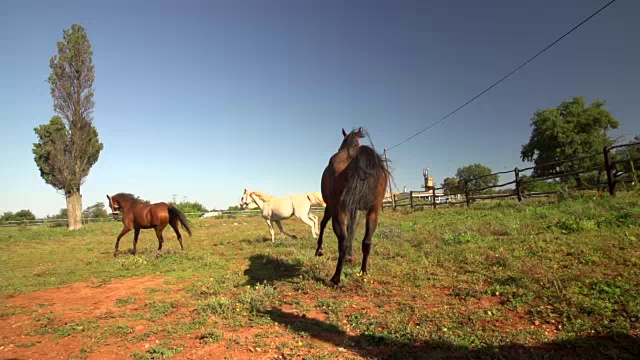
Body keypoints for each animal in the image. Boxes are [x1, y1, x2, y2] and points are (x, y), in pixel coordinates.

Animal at [316, 128, 390, 286]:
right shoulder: (353, 209)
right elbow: (352, 229)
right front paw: (350, 257)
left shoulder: (331, 207)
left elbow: (323, 224)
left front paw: (319, 249)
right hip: (374, 210)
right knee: (367, 242)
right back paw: (363, 272)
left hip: (338, 211)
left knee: (342, 242)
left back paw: (335, 279)